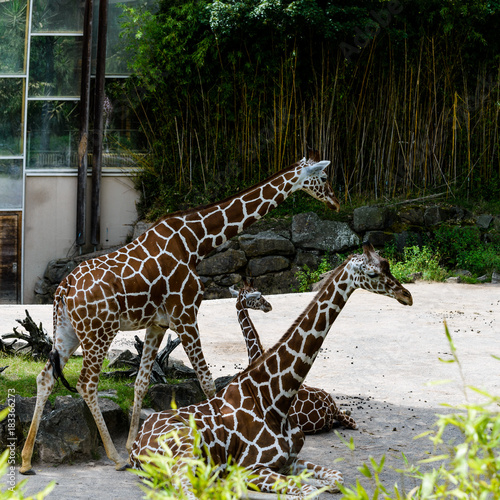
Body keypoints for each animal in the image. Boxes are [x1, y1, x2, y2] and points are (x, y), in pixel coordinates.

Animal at [19, 150, 340, 474]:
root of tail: (64, 288)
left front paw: (132, 445)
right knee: (86, 383)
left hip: (68, 333)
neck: (196, 241)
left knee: (45, 378)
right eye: (324, 177)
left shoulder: (157, 324)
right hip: (99, 332)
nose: (336, 203)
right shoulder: (186, 315)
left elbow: (141, 382)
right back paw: (114, 458)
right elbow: (206, 380)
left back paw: (25, 461)